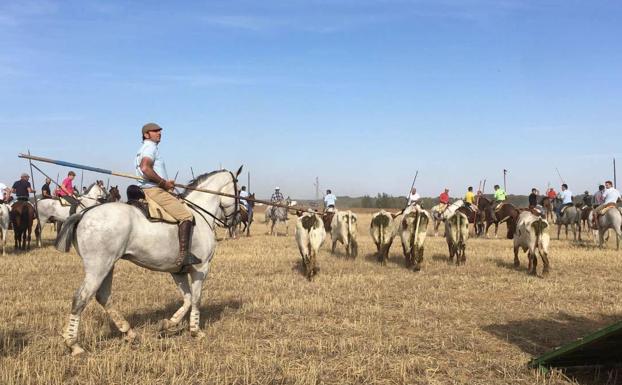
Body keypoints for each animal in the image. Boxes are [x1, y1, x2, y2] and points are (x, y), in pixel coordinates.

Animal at [54, 168, 240, 354]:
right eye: (237, 191)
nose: (235, 220)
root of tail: (82, 214)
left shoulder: (177, 271)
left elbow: (187, 299)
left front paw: (168, 324)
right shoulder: (201, 268)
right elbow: (196, 299)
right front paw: (195, 331)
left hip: (108, 265)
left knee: (103, 296)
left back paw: (128, 332)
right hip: (98, 267)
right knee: (81, 298)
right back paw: (74, 344)